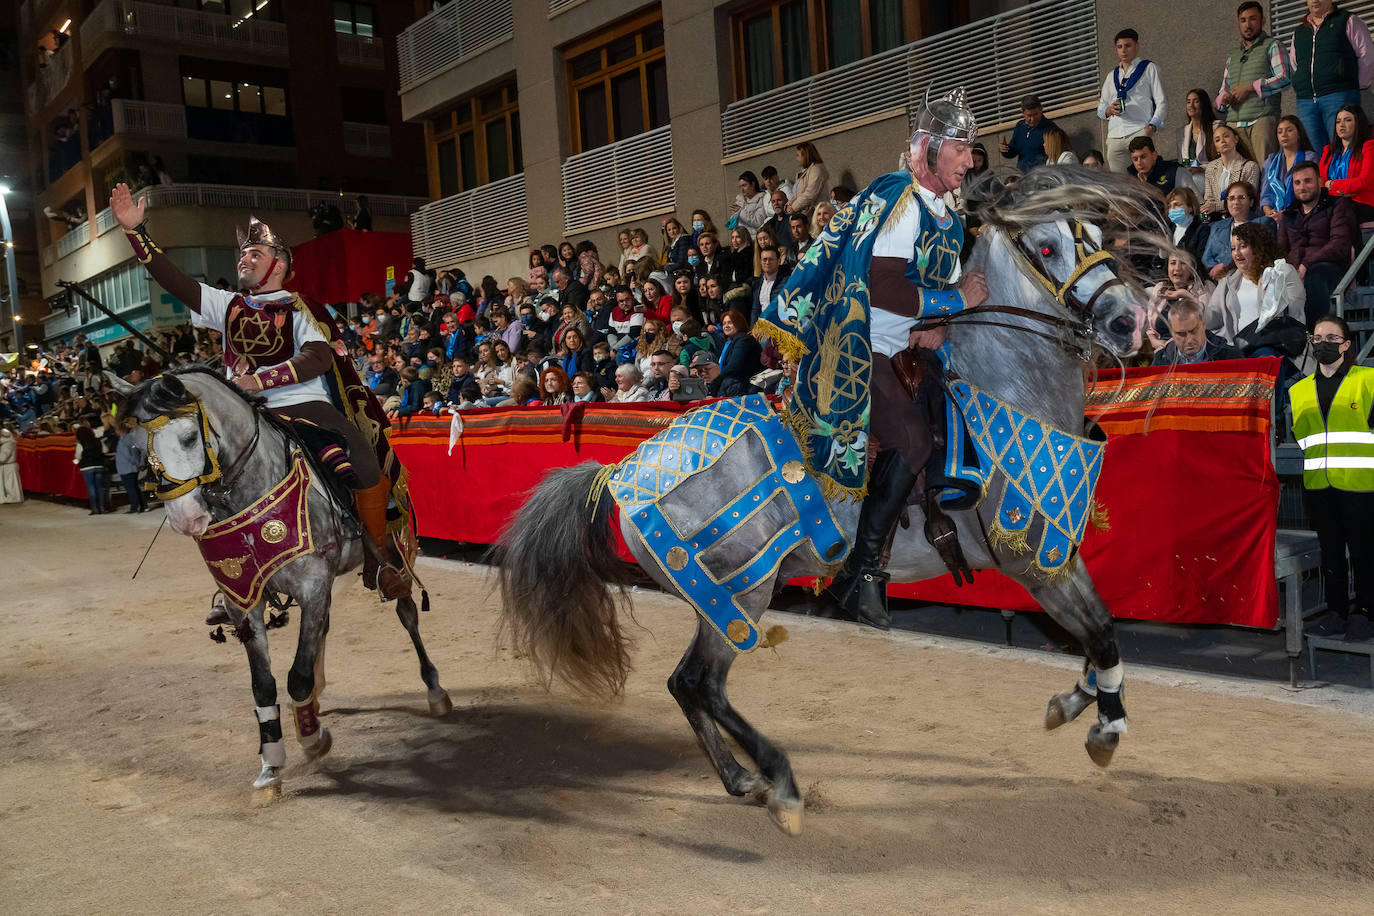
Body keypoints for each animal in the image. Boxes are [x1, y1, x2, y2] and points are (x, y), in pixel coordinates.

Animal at [109, 368, 450, 791]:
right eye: (139, 447)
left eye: (188, 437)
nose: (185, 518)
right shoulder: (244, 601)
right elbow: (264, 684)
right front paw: (270, 761)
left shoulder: (312, 583)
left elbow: (297, 675)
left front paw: (313, 738)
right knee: (324, 629)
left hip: (394, 551)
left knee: (407, 615)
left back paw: (434, 690)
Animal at [500, 166, 1165, 840]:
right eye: (1049, 248)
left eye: (1094, 236)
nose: (1131, 321)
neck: (1004, 389)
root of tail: (623, 470)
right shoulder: (1032, 562)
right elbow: (1101, 634)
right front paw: (1105, 726)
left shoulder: (1058, 558)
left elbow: (1102, 632)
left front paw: (1078, 704)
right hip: (741, 591)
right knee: (700, 684)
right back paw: (779, 781)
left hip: (722, 599)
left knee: (685, 685)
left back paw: (741, 780)